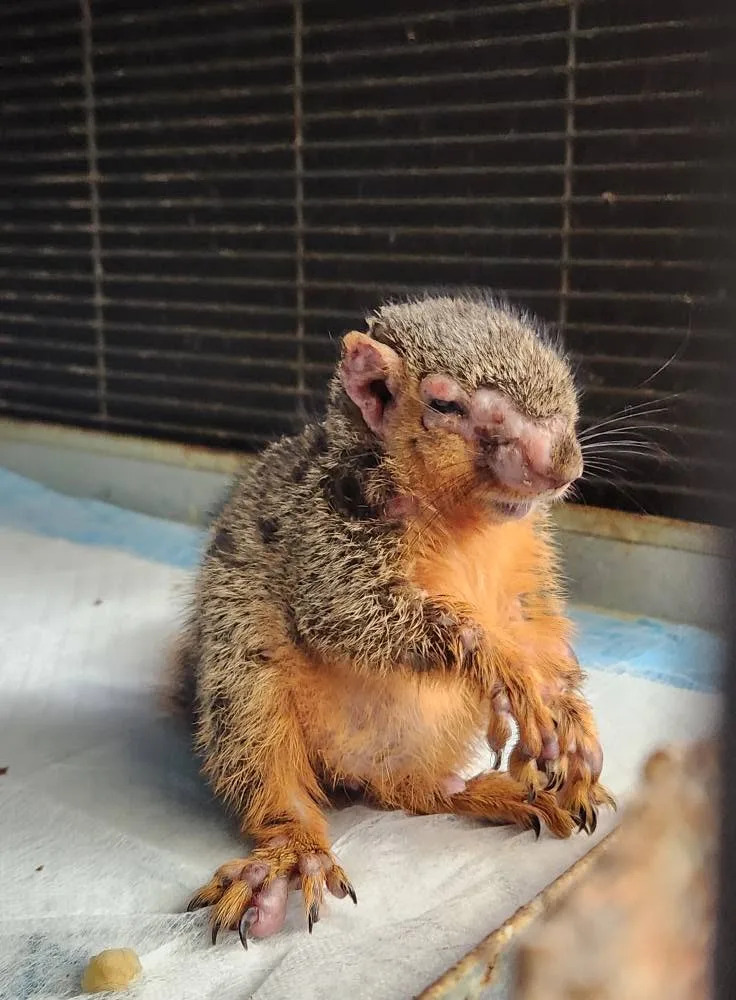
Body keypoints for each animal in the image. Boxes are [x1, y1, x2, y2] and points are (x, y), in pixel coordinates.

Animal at [170, 292, 615, 948]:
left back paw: (500, 794)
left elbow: (537, 625)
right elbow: (350, 611)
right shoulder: (325, 526)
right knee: (271, 777)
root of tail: (355, 771)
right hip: (244, 678)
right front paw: (507, 671)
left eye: (565, 383)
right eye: (444, 404)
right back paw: (285, 861)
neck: (470, 523)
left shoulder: (527, 567)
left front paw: (570, 720)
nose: (562, 467)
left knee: (418, 796)